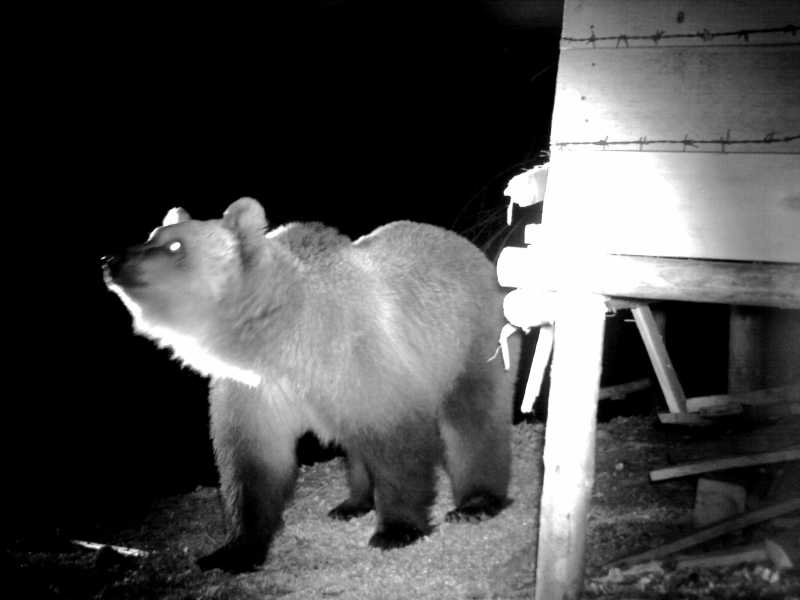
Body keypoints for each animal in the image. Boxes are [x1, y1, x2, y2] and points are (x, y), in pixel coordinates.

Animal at [103, 197, 519, 573]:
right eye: (152, 235)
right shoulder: (254, 388)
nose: (111, 261)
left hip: (469, 337)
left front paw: (396, 529)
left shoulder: (355, 352)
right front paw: (233, 551)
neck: (277, 336)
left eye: (175, 245)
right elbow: (251, 462)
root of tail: (468, 246)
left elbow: (397, 440)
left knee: (473, 418)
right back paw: (353, 503)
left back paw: (476, 503)